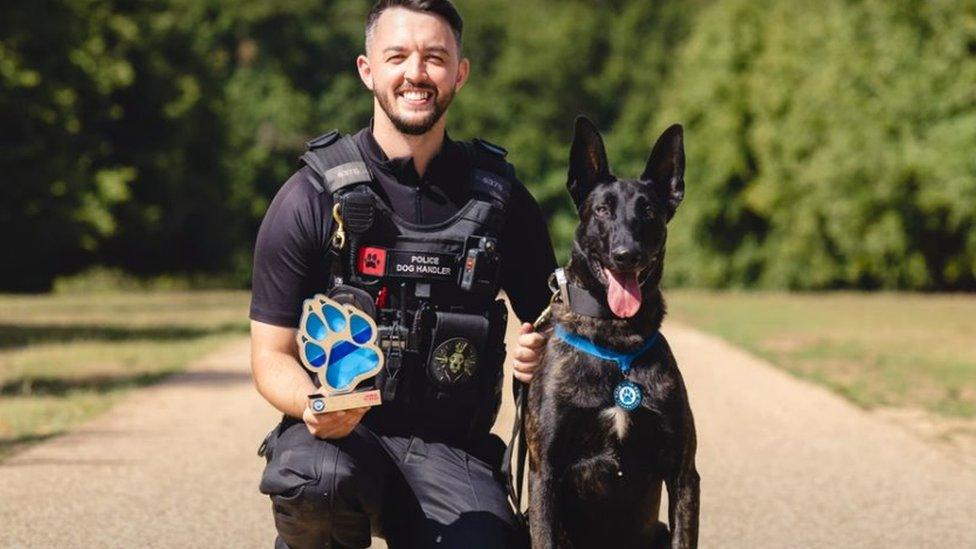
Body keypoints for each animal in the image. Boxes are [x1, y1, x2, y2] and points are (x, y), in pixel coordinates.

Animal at [528, 117, 700, 544]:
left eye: (649, 211)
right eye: (603, 209)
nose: (627, 256)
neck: (616, 341)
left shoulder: (684, 475)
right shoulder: (545, 474)